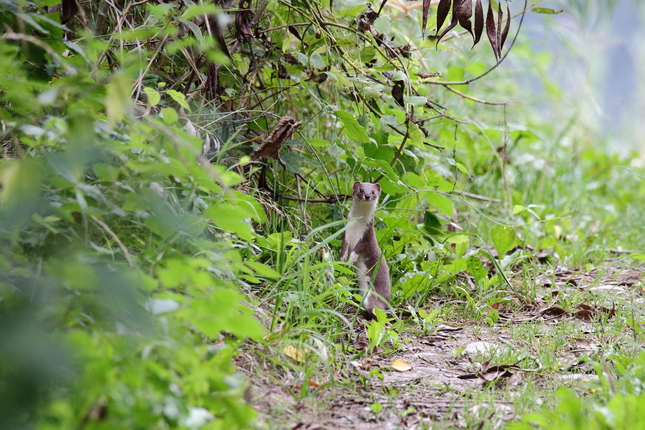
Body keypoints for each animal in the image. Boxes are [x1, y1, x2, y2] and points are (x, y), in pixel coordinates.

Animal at [340, 181, 390, 316]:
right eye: (361, 190)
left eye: (373, 192)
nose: (367, 196)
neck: (355, 228)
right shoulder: (345, 234)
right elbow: (344, 247)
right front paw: (342, 260)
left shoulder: (366, 238)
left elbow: (357, 250)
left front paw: (350, 261)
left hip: (372, 299)